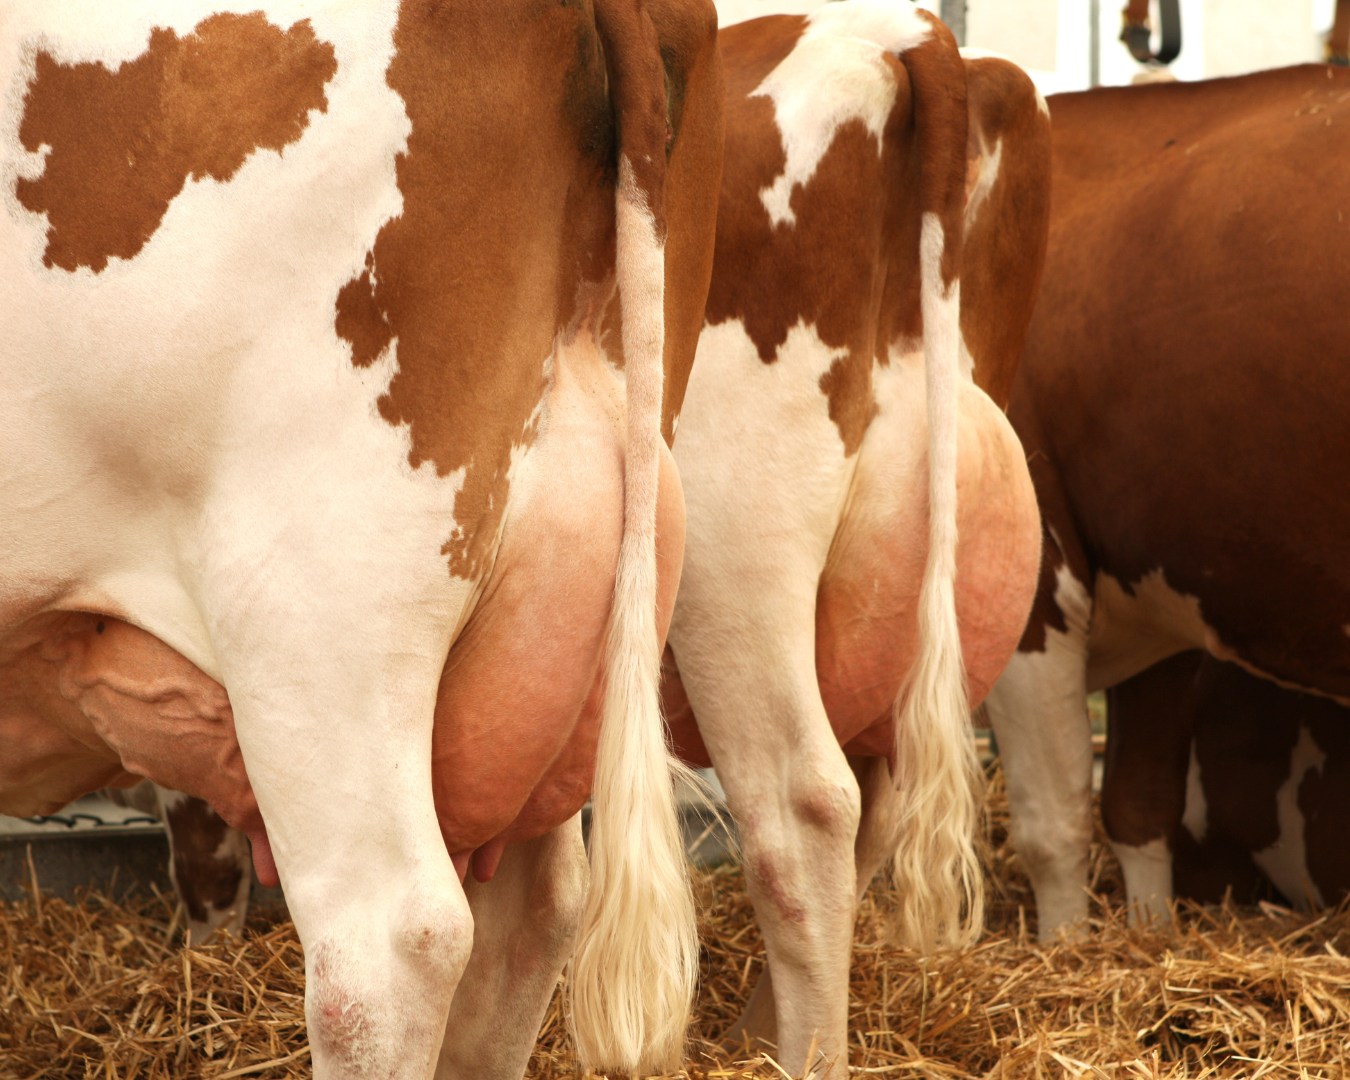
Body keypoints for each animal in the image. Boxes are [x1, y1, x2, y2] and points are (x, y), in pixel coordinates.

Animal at [658, 3, 1051, 1073]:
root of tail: (907, 36)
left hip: (729, 543)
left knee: (805, 806)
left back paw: (793, 1055)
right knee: (876, 804)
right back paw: (752, 1034)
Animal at [982, 62, 1350, 941]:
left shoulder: (1036, 577)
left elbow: (1055, 821)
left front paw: (1066, 954)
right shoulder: (1163, 590)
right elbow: (1138, 804)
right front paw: (1149, 940)